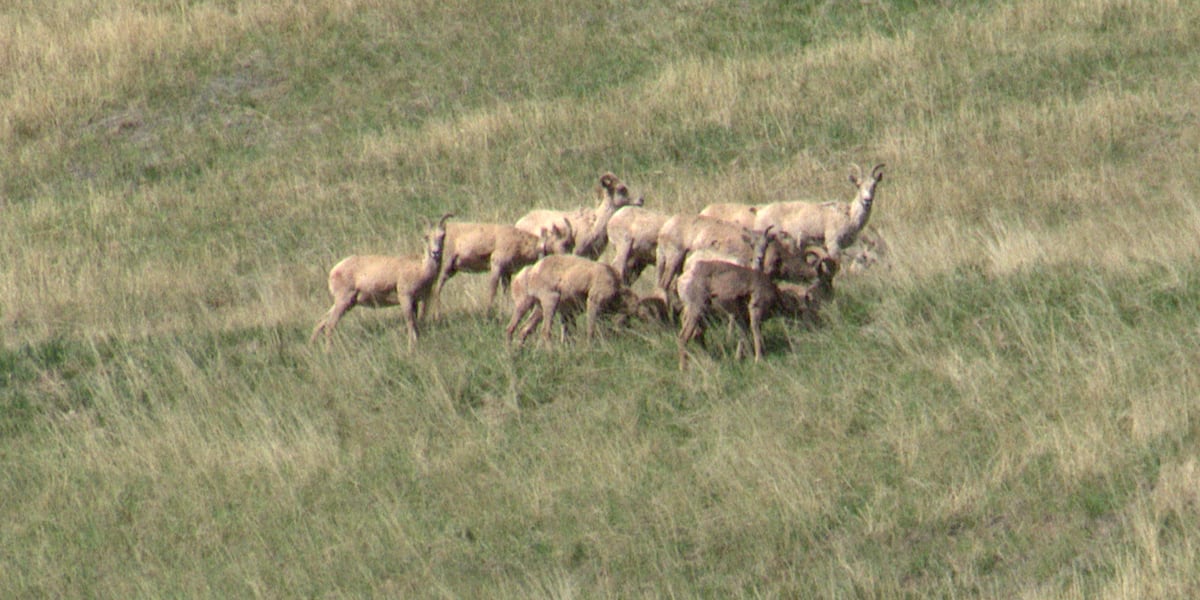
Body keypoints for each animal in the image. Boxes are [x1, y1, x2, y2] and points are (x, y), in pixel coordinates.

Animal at [310, 213, 453, 348]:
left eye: (443, 236)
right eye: (426, 236)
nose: (435, 253)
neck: (421, 268)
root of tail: (334, 271)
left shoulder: (416, 302)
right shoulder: (405, 298)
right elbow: (410, 323)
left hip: (347, 303)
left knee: (321, 322)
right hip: (343, 301)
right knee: (329, 325)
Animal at [434, 220, 574, 312]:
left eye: (570, 244)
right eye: (562, 243)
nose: (568, 258)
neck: (519, 244)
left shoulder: (507, 273)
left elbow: (506, 291)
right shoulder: (497, 266)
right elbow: (493, 290)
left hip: (452, 270)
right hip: (447, 265)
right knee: (438, 286)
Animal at [505, 254, 639, 346]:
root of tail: (531, 271)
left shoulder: (568, 314)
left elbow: (568, 336)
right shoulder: (593, 303)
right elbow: (590, 330)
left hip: (537, 309)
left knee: (521, 329)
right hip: (548, 303)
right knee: (544, 332)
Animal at [752, 163, 885, 258]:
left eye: (874, 185)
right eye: (858, 185)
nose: (867, 200)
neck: (849, 215)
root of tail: (760, 211)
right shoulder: (832, 244)